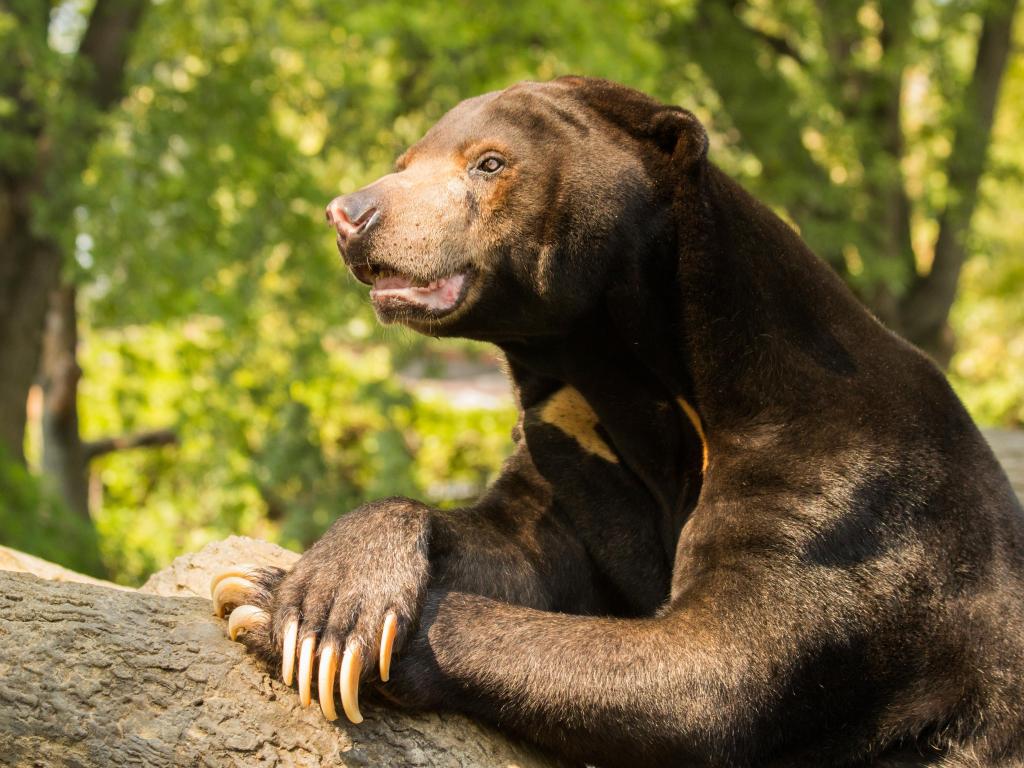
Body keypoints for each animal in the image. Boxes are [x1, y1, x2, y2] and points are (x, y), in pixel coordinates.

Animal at [207, 78, 1024, 768]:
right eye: (404, 161)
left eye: (490, 163)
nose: (350, 213)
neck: (629, 377)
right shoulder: (573, 448)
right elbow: (520, 545)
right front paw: (319, 590)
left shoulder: (839, 485)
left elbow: (716, 672)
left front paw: (270, 605)